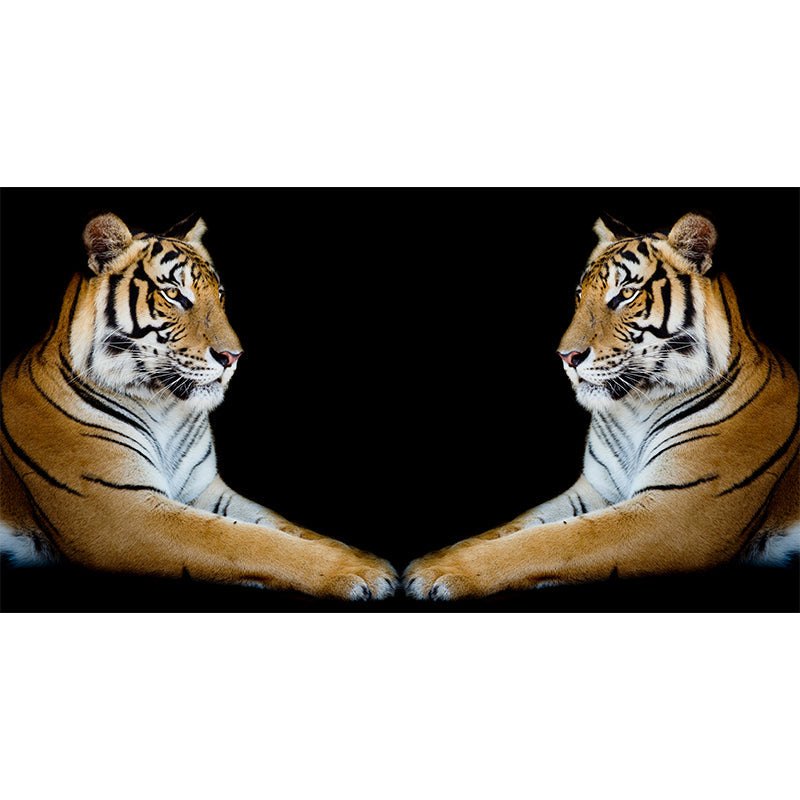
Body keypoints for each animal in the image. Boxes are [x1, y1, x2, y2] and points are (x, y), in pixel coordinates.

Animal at [0, 212, 398, 600]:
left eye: (219, 294)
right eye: (174, 294)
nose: (233, 357)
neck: (161, 406)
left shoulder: (205, 490)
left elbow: (285, 526)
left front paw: (366, 558)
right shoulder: (121, 509)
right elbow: (245, 539)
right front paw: (360, 572)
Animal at [403, 212, 800, 600]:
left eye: (625, 294)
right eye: (580, 295)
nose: (566, 357)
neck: (638, 407)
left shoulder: (678, 509)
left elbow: (555, 539)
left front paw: (438, 572)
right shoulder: (594, 490)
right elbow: (515, 525)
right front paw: (432, 558)